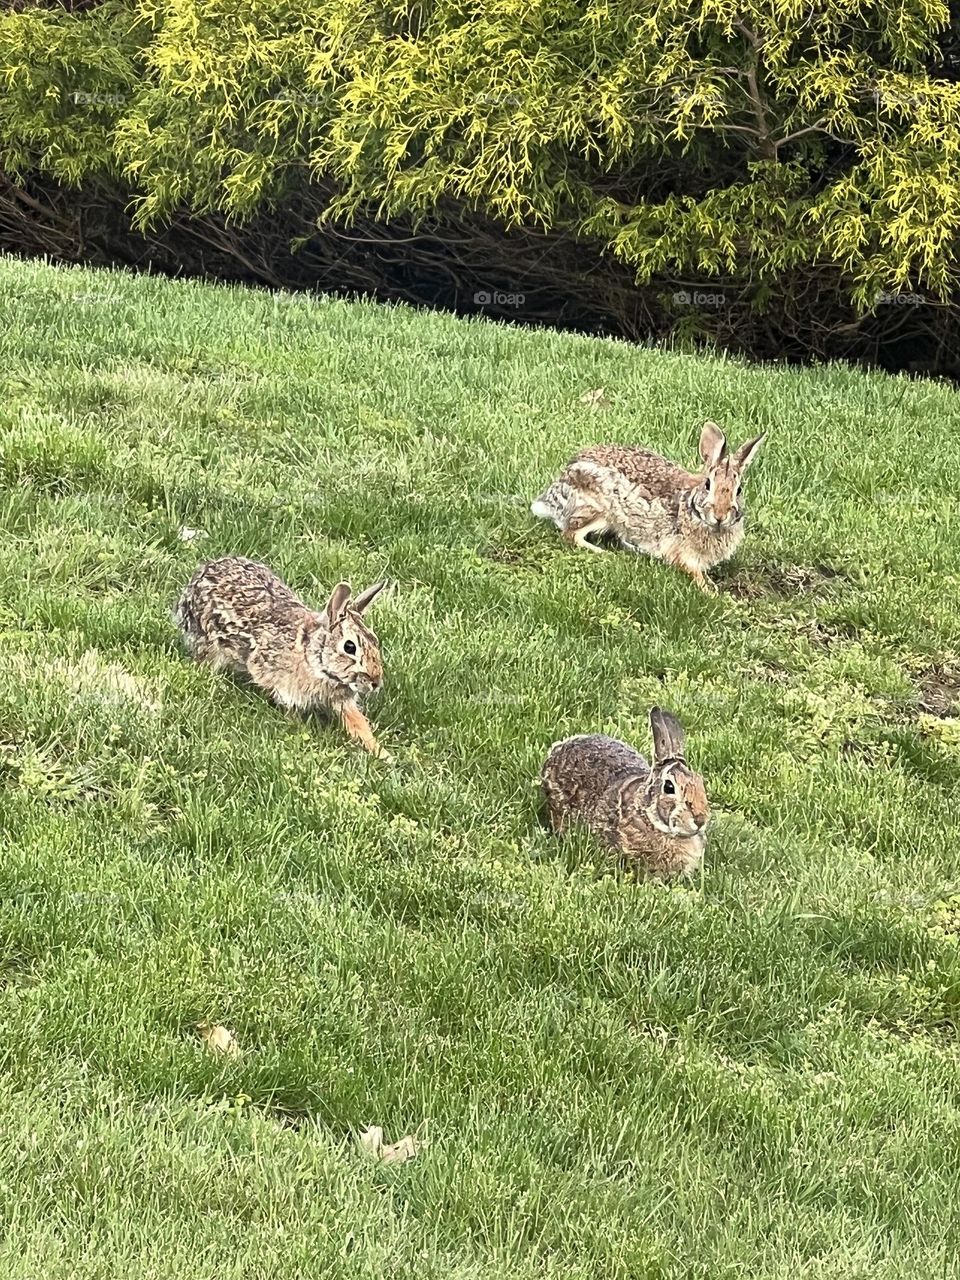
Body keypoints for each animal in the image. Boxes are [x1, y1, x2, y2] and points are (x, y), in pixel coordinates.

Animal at [176, 555, 391, 752]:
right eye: (349, 647)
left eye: (375, 641)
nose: (375, 682)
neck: (312, 658)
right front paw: (298, 728)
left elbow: (357, 723)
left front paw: (381, 753)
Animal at [535, 424, 768, 593]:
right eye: (708, 485)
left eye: (739, 490)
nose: (720, 516)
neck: (692, 509)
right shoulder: (682, 553)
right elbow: (694, 573)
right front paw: (710, 592)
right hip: (599, 512)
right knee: (571, 534)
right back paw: (606, 553)